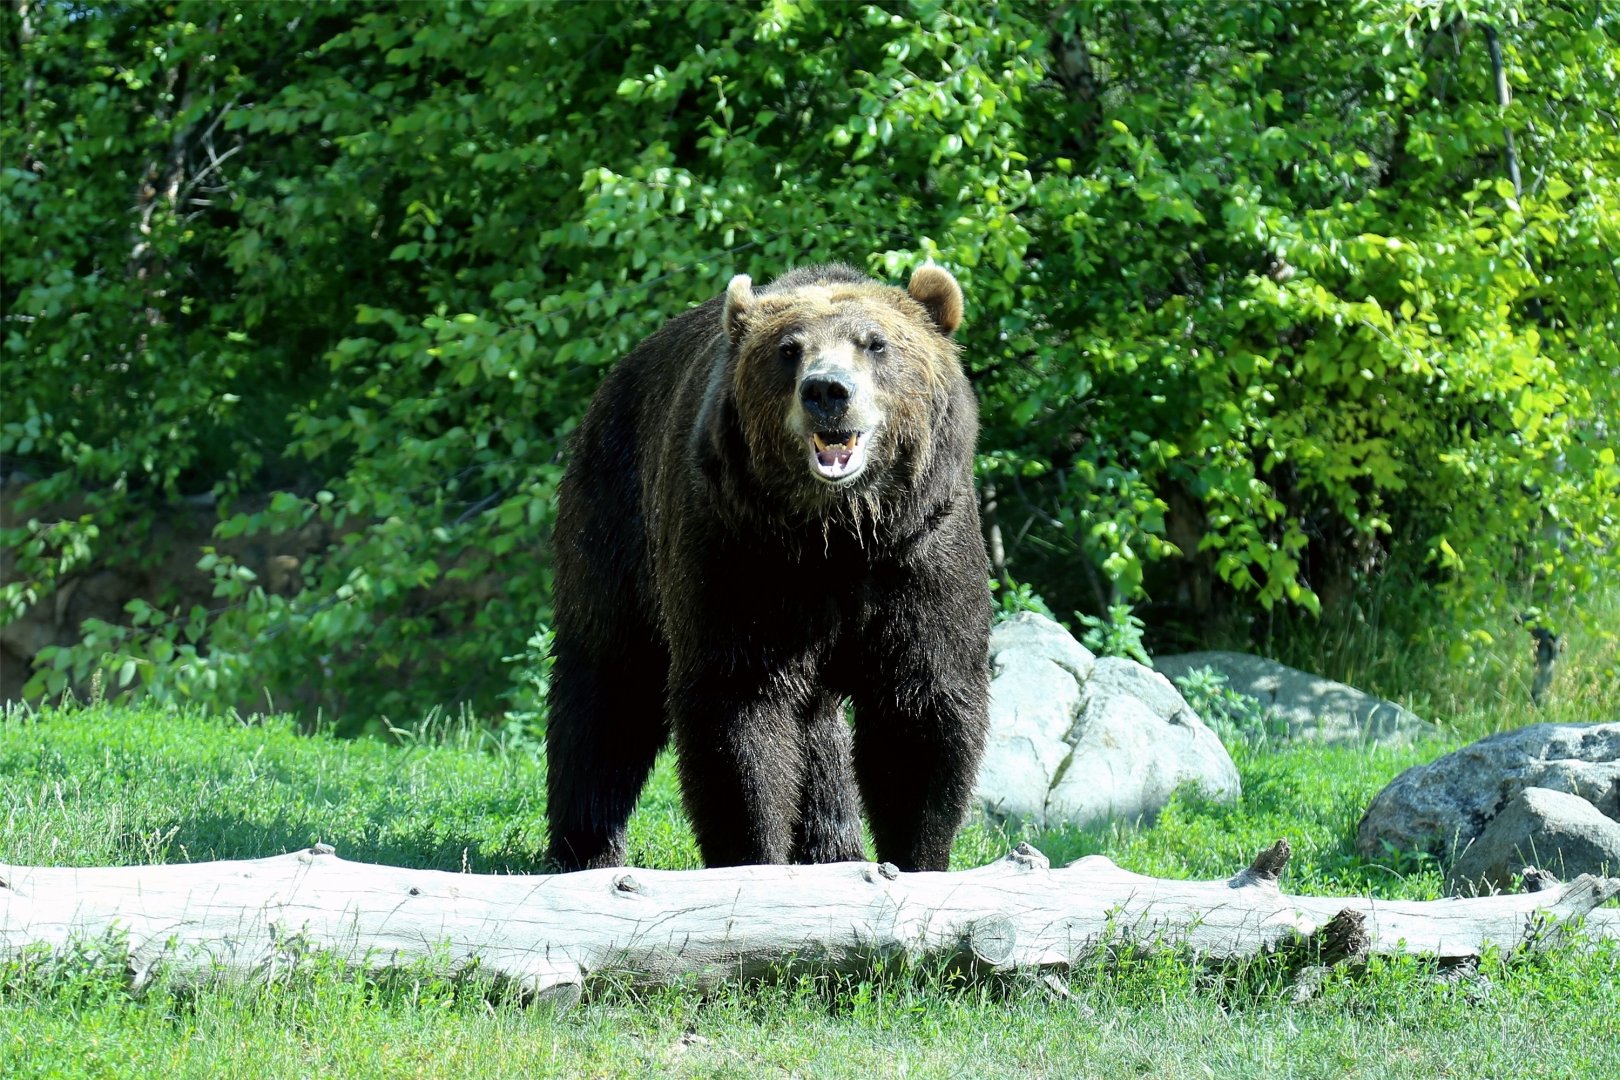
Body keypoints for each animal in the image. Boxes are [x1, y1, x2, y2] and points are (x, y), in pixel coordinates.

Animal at [545, 263, 990, 872]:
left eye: (875, 342)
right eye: (788, 349)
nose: (827, 390)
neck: (835, 534)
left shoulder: (919, 552)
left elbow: (920, 706)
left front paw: (915, 858)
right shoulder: (743, 552)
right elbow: (740, 712)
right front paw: (754, 855)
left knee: (817, 726)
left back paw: (833, 845)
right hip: (616, 515)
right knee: (608, 680)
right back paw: (586, 849)